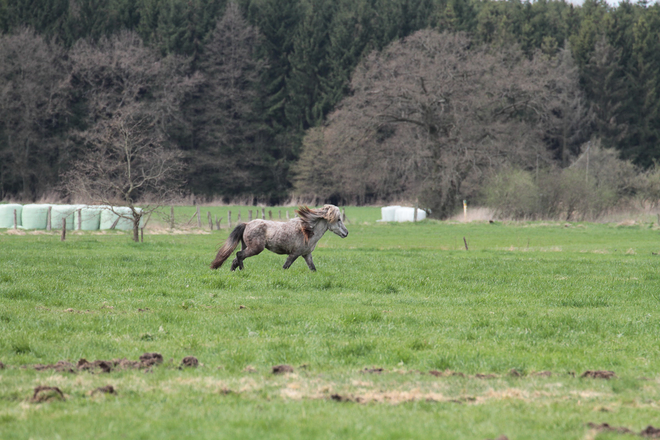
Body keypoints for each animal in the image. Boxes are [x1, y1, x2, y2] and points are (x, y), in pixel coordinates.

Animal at [210, 204, 350, 272]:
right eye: (338, 219)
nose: (346, 233)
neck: (308, 232)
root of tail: (247, 224)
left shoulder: (306, 255)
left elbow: (313, 268)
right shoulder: (294, 254)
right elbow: (285, 266)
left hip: (248, 247)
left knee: (236, 259)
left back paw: (234, 272)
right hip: (255, 248)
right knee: (239, 255)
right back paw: (242, 270)